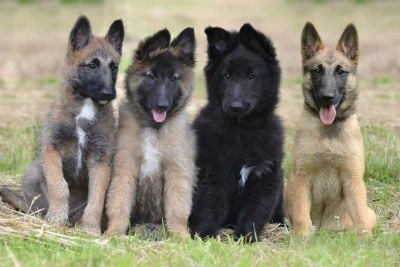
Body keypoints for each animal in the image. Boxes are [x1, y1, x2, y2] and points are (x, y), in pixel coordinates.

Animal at [284, 22, 376, 241]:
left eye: (341, 72)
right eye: (317, 70)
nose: (327, 97)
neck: (328, 132)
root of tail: (323, 229)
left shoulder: (353, 179)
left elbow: (360, 215)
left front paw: (365, 239)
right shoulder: (301, 178)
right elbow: (301, 214)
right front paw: (301, 238)